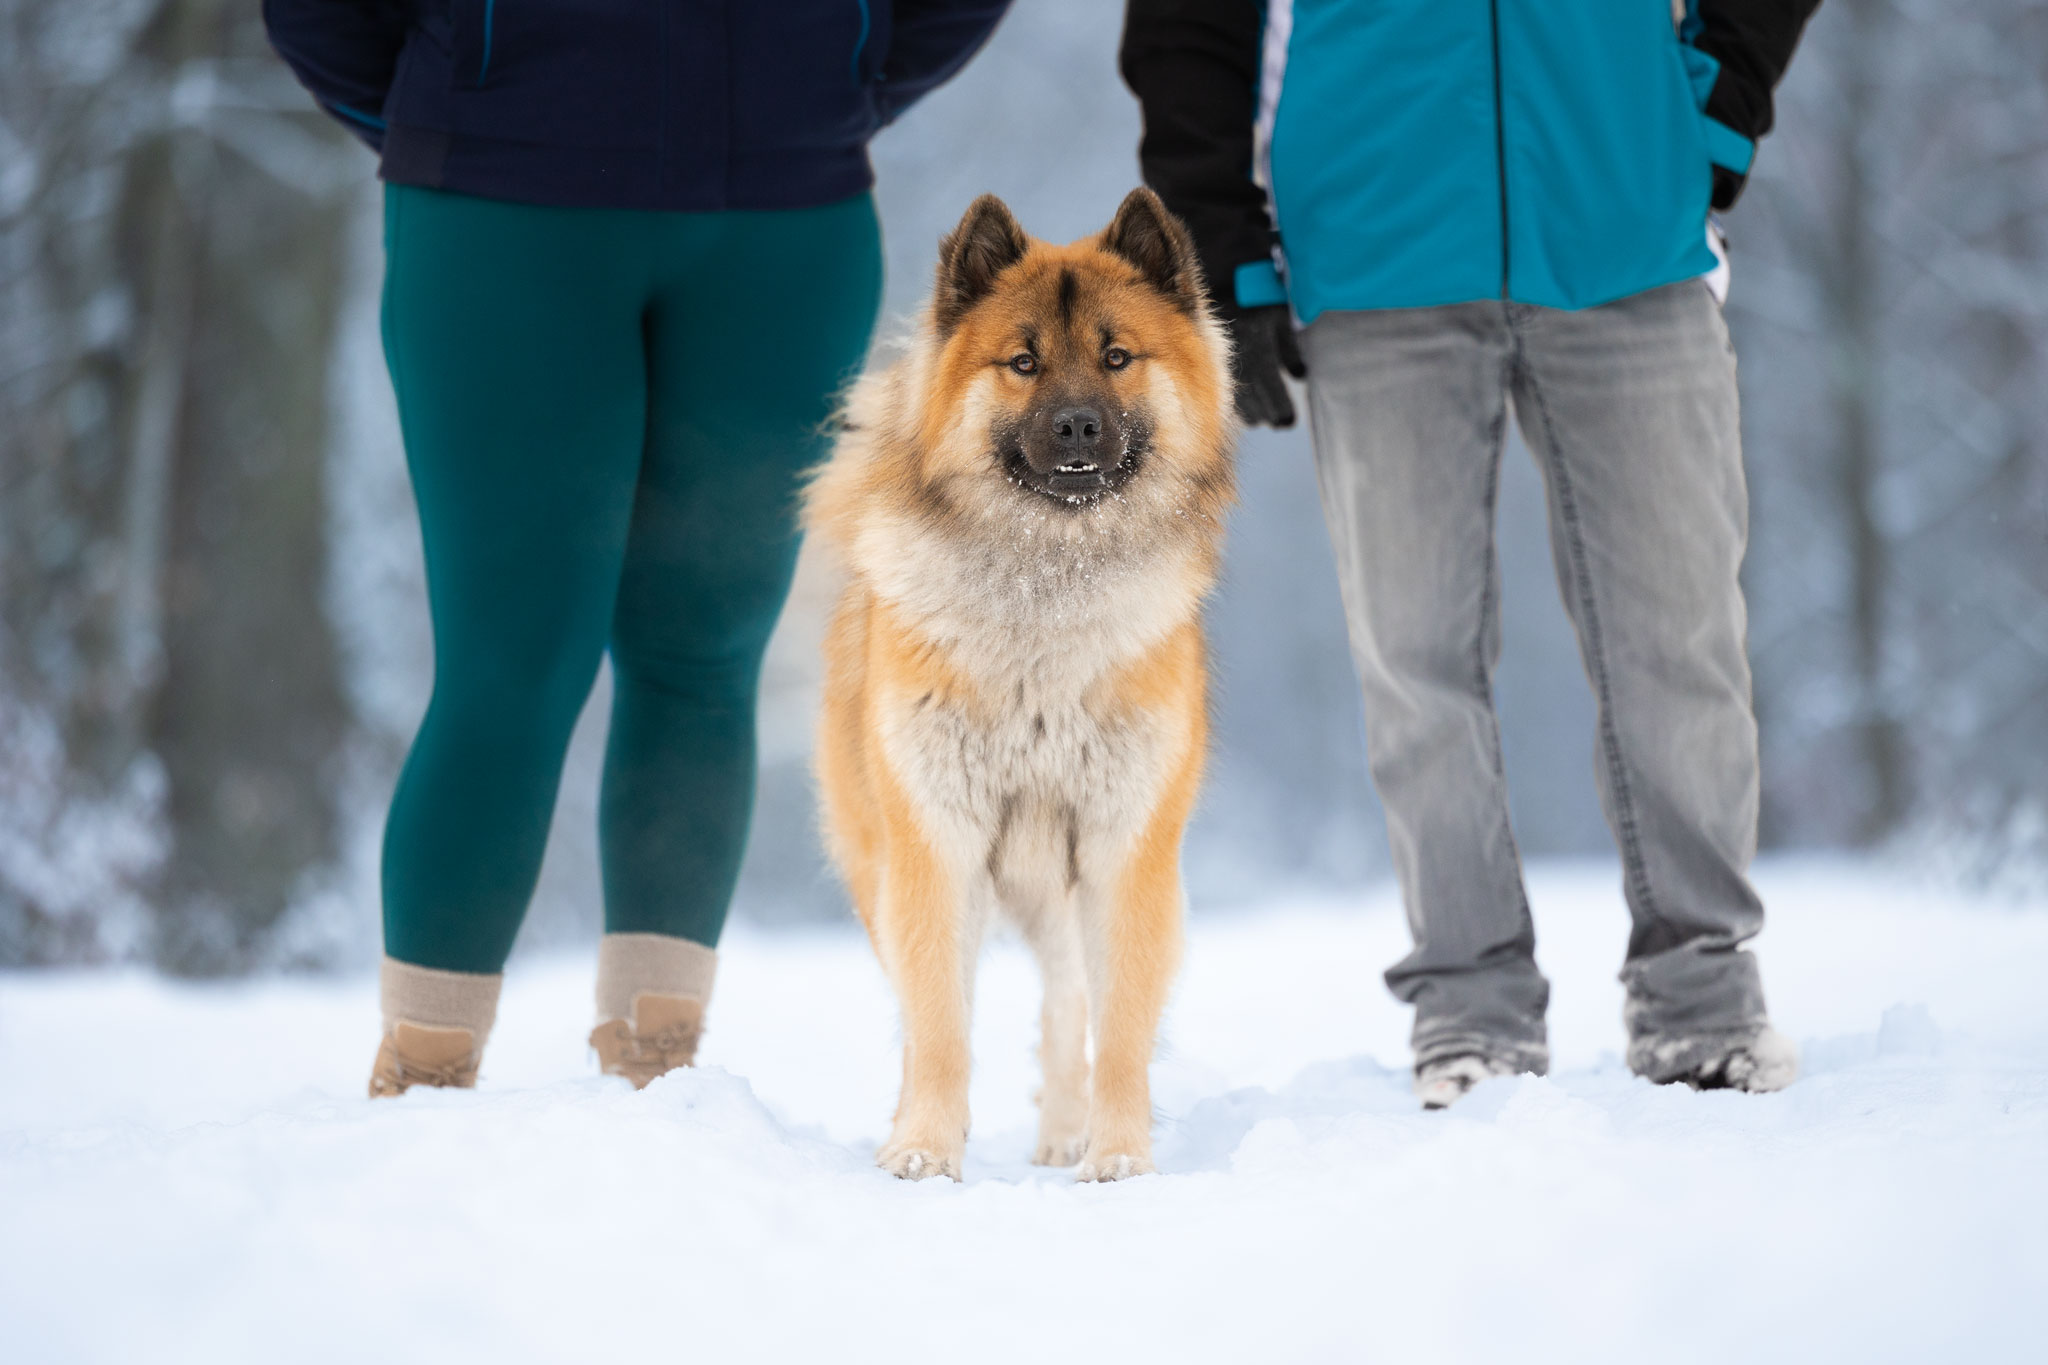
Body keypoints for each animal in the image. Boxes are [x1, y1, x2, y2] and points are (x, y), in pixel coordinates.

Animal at [806, 187, 1236, 1178]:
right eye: (1024, 362)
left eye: (1116, 356)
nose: (1077, 425)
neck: (1044, 602)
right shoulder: (934, 843)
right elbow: (938, 1025)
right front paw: (925, 1148)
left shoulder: (1125, 849)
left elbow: (1119, 1028)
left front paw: (1117, 1155)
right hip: (879, 868)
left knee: (1069, 1000)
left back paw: (1067, 1132)